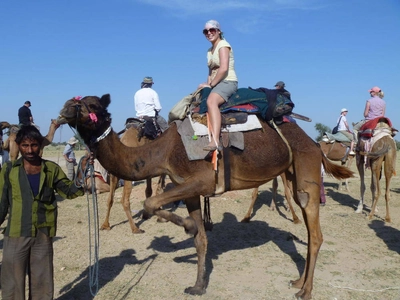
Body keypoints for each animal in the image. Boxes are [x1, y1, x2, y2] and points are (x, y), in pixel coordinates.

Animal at [57, 94, 352, 300]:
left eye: (91, 104)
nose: (65, 108)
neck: (163, 151)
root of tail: (315, 143)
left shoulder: (204, 179)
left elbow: (150, 202)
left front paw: (185, 226)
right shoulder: (187, 187)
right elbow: (199, 239)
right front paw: (198, 284)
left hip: (306, 170)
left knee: (315, 232)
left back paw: (305, 290)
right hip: (292, 171)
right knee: (309, 229)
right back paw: (298, 281)